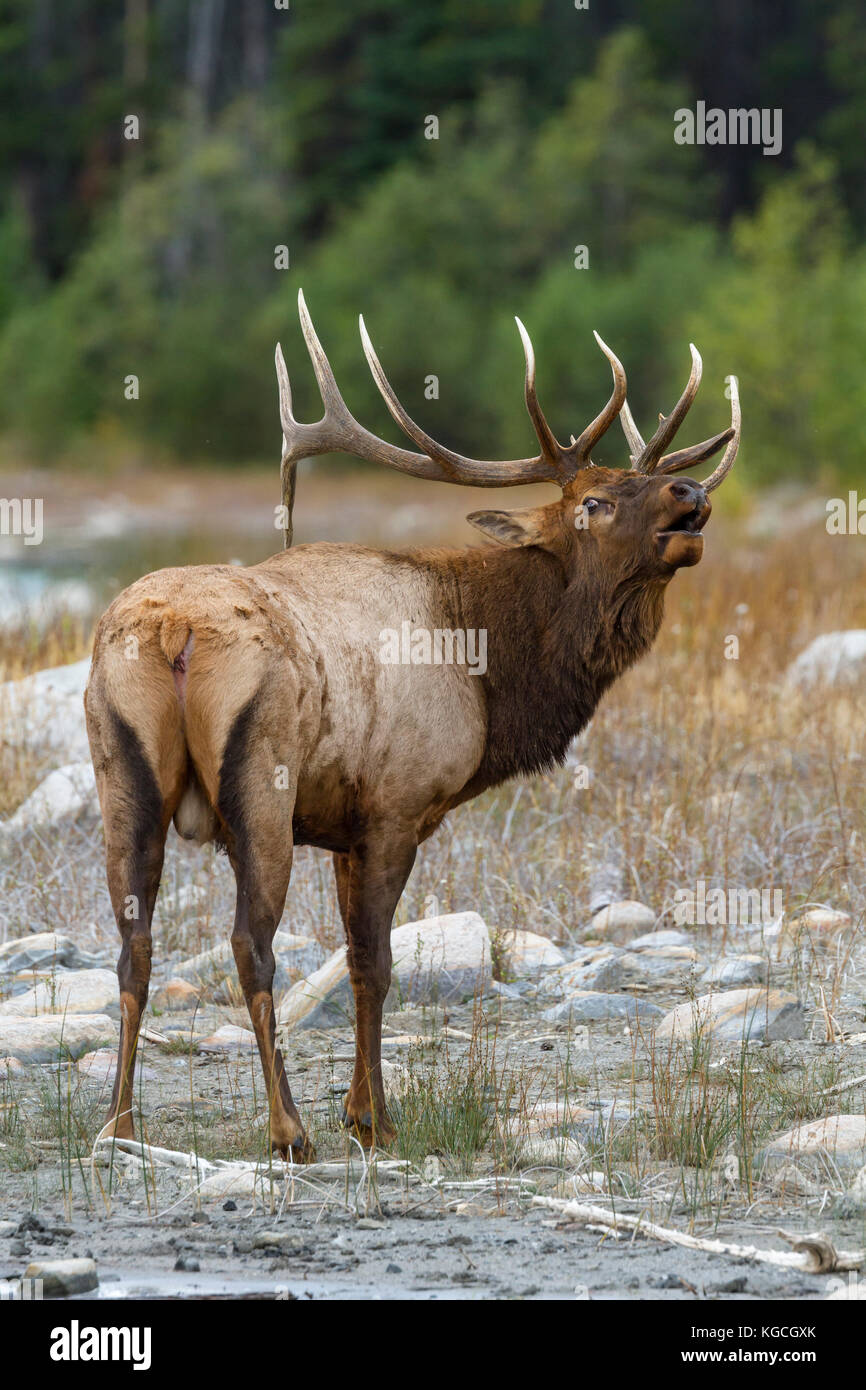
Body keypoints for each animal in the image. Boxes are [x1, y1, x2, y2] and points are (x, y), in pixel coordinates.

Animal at [84, 289, 740, 1157]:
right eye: (594, 503)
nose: (690, 497)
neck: (488, 676)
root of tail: (173, 630)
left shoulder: (342, 824)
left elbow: (354, 956)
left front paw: (359, 1109)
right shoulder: (397, 805)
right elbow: (375, 962)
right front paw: (374, 1119)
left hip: (120, 775)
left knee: (133, 946)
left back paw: (119, 1124)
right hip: (260, 783)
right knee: (249, 945)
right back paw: (287, 1129)